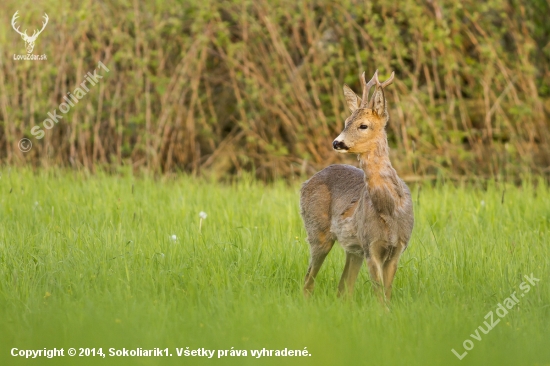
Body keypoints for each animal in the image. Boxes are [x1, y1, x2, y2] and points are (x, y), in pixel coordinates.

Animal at [302, 70, 414, 302]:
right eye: (346, 121)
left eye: (363, 125)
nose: (337, 142)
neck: (390, 209)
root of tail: (306, 183)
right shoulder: (370, 245)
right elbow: (380, 296)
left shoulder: (398, 247)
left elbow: (386, 294)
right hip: (317, 231)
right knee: (308, 281)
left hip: (353, 250)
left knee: (343, 287)